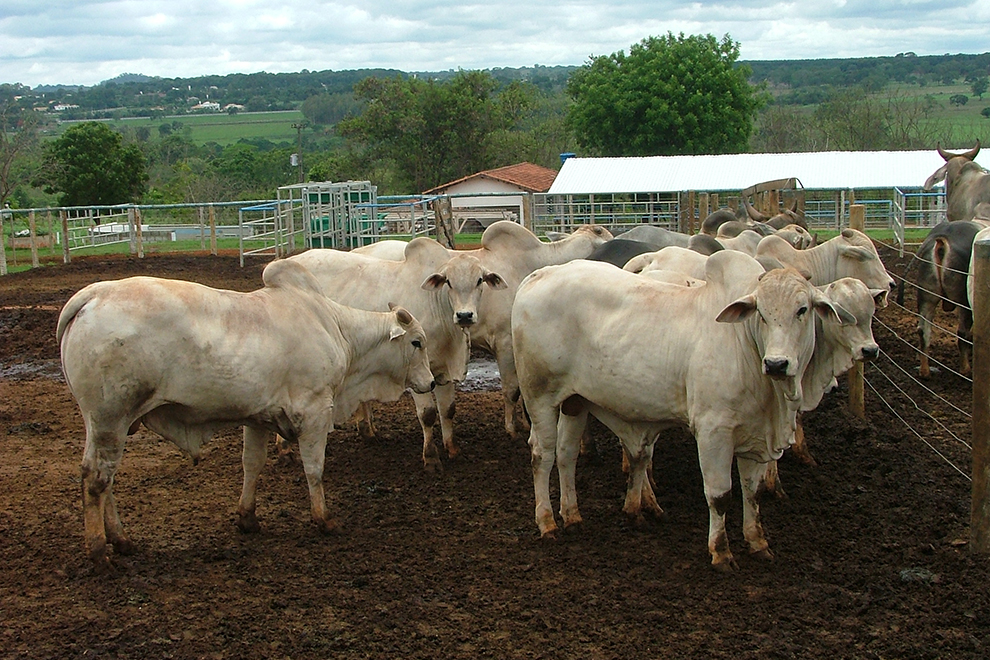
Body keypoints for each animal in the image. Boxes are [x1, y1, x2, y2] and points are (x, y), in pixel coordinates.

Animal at [56, 258, 436, 568]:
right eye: (416, 342)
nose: (432, 382)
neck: (337, 329)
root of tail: (94, 294)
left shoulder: (259, 418)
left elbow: (252, 464)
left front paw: (247, 518)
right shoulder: (315, 412)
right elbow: (314, 469)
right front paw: (324, 519)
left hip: (103, 425)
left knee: (101, 477)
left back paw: (121, 540)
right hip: (110, 420)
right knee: (97, 479)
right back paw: (99, 550)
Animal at [284, 236, 504, 470]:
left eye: (479, 281)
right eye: (449, 282)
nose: (464, 315)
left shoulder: (442, 371)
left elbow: (448, 409)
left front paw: (452, 450)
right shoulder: (417, 371)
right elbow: (428, 414)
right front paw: (431, 457)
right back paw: (285, 449)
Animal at [512, 250, 852, 568]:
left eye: (802, 310)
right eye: (762, 314)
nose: (777, 364)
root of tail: (539, 275)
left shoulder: (755, 437)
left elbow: (752, 493)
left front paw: (757, 542)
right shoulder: (714, 432)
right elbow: (720, 495)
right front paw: (721, 552)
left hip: (576, 402)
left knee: (566, 454)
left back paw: (572, 515)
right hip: (540, 396)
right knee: (541, 455)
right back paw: (547, 522)